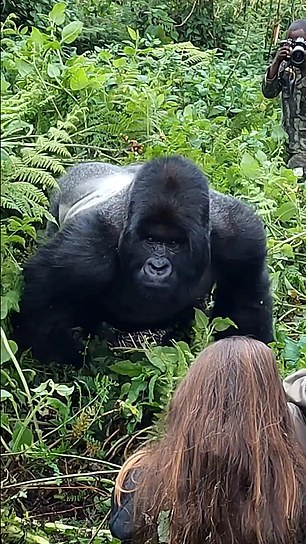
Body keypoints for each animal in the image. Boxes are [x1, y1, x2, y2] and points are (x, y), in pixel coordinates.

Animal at [13, 155, 272, 364]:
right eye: (150, 239)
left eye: (173, 243)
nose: (157, 267)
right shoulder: (83, 250)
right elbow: (41, 302)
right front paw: (73, 352)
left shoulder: (241, 237)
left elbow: (245, 307)